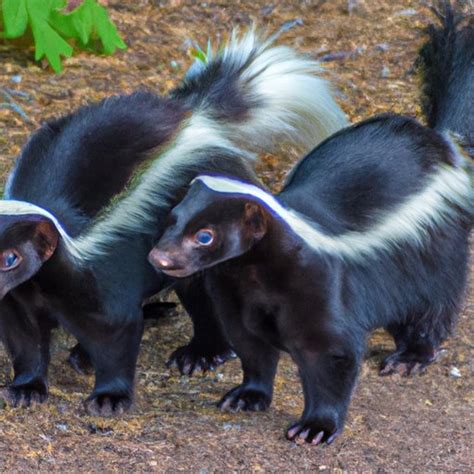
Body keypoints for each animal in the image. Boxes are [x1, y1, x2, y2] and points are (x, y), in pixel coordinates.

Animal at [151, 3, 474, 446]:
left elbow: (331, 356)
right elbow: (252, 347)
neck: (255, 274)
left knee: (432, 305)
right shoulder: (236, 295)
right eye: (173, 219)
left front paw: (316, 426)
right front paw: (248, 395)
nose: (160, 257)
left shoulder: (322, 288)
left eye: (205, 236)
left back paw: (411, 356)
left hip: (435, 248)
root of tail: (441, 142)